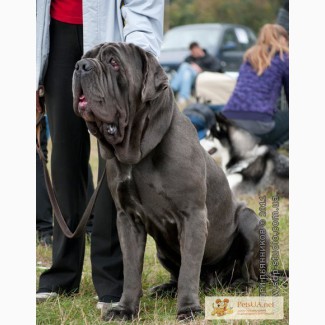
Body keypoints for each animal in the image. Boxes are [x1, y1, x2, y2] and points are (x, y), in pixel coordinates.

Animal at [73, 41, 268, 320]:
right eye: (85, 57)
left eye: (114, 63)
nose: (81, 66)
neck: (139, 150)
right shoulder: (127, 219)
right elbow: (131, 269)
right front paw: (125, 309)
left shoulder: (193, 216)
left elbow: (189, 269)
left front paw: (188, 309)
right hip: (162, 249)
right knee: (177, 274)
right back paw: (165, 288)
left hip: (251, 222)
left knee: (250, 272)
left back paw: (241, 286)